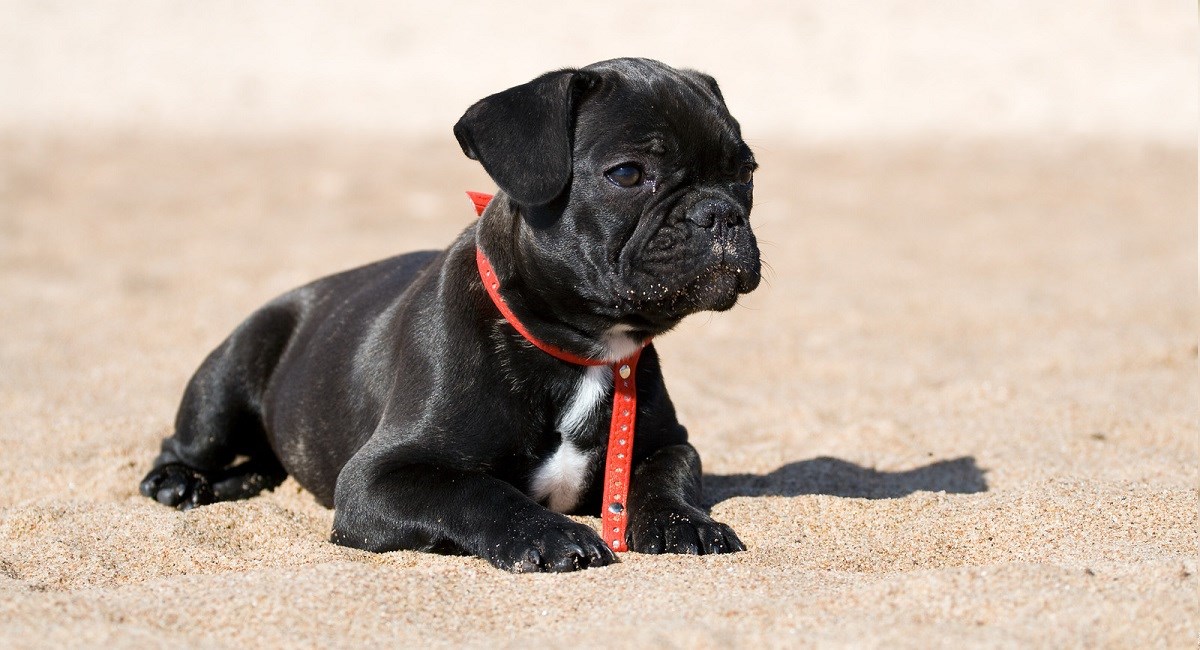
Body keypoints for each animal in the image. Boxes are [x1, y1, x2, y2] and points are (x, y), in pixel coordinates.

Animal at [140, 58, 758, 573]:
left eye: (747, 173)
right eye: (628, 174)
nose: (719, 212)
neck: (579, 346)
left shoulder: (665, 443)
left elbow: (668, 475)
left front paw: (687, 523)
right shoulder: (379, 478)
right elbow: (475, 491)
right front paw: (552, 535)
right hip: (229, 375)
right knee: (189, 440)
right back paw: (179, 483)